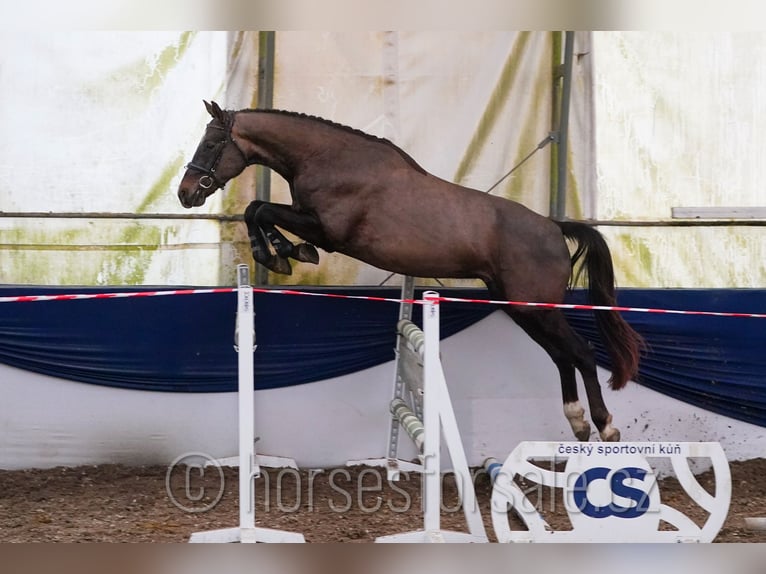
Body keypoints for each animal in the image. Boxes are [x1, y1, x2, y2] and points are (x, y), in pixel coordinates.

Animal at [178, 100, 644, 442]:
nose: (185, 193)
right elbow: (258, 209)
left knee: (581, 354)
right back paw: (578, 422)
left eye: (212, 143)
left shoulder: (328, 231)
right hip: (523, 308)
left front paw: (283, 253)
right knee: (562, 357)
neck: (330, 159)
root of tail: (553, 227)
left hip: (536, 308)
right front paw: (284, 252)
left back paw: (605, 425)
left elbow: (260, 209)